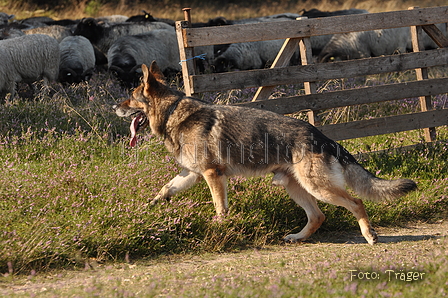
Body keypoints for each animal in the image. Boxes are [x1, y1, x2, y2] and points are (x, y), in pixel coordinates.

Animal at [112, 60, 416, 244]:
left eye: (130, 96)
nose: (114, 107)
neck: (173, 112)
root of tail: (323, 136)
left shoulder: (212, 175)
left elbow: (220, 207)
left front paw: (220, 228)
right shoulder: (192, 174)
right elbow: (164, 190)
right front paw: (146, 210)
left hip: (318, 188)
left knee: (356, 202)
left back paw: (369, 234)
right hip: (295, 187)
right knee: (318, 216)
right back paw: (298, 237)